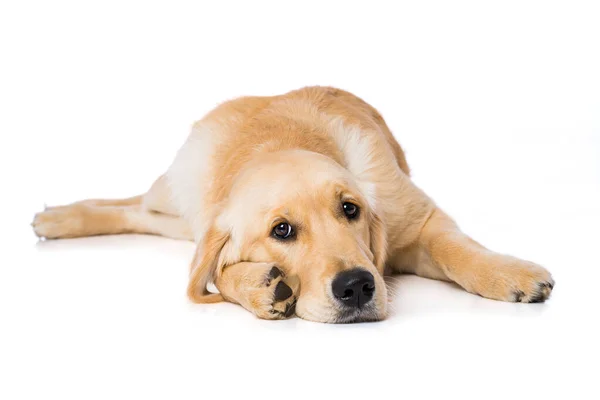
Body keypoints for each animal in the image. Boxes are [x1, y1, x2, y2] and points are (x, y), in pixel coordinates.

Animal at [31, 86, 552, 322]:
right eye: (281, 230)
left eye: (350, 209)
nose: (357, 287)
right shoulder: (214, 231)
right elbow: (217, 273)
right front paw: (261, 286)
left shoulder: (416, 219)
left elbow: (456, 248)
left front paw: (509, 272)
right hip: (178, 193)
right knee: (135, 203)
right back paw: (56, 217)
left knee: (138, 212)